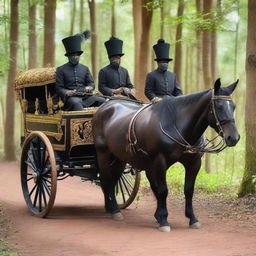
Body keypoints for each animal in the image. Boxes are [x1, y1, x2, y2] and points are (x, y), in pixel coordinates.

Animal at [92, 78, 240, 232]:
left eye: (233, 106)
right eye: (219, 106)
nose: (234, 137)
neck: (176, 125)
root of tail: (105, 107)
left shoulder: (193, 163)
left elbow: (188, 190)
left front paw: (192, 218)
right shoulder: (159, 161)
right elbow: (163, 190)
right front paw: (163, 219)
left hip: (120, 157)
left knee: (113, 180)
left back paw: (110, 207)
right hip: (103, 154)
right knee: (107, 180)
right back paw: (115, 210)